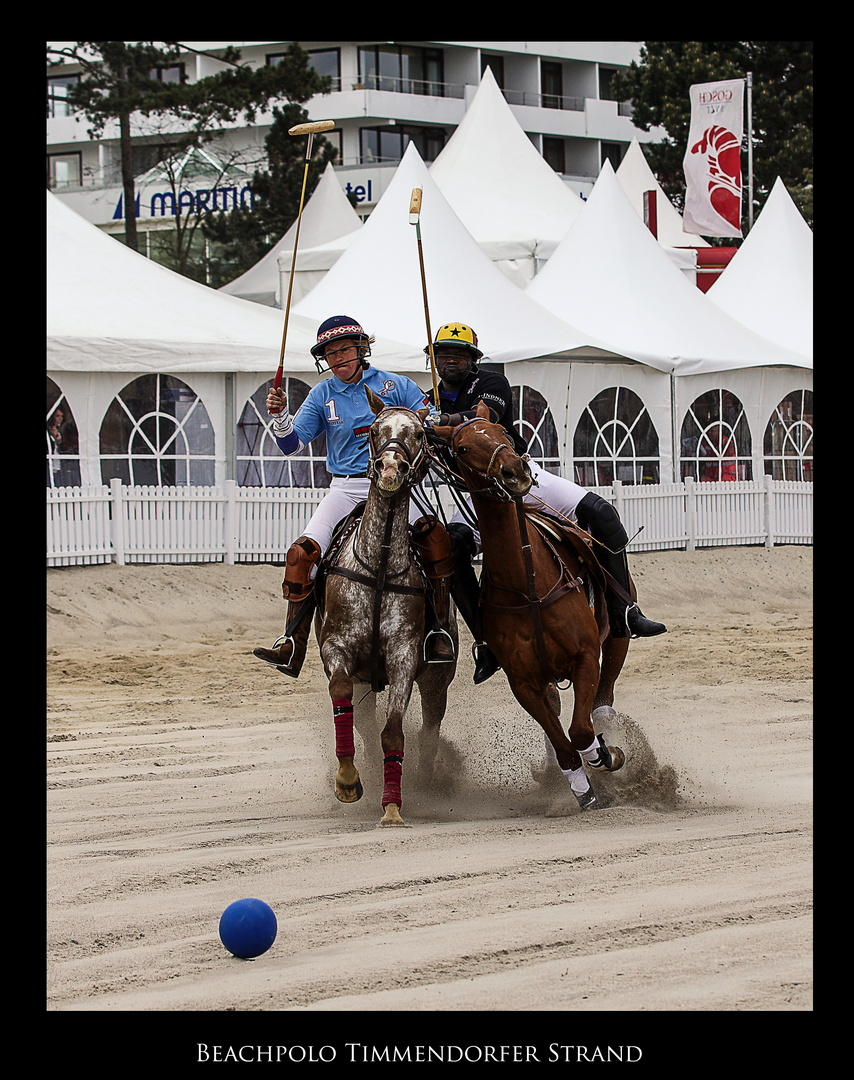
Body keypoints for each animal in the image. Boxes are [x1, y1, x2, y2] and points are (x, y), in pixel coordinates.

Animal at [315, 388, 459, 825]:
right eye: (376, 430)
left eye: (417, 433)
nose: (391, 468)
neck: (378, 566)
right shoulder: (338, 648)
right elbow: (343, 696)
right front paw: (347, 781)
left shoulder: (404, 656)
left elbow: (393, 732)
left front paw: (393, 806)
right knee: (361, 721)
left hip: (437, 679)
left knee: (429, 729)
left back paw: (427, 781)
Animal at [434, 406, 626, 812]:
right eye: (461, 448)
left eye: (502, 431)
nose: (515, 472)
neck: (527, 583)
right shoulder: (524, 683)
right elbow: (564, 742)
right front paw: (583, 790)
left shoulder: (585, 656)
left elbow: (580, 730)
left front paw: (605, 754)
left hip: (616, 628)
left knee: (607, 682)